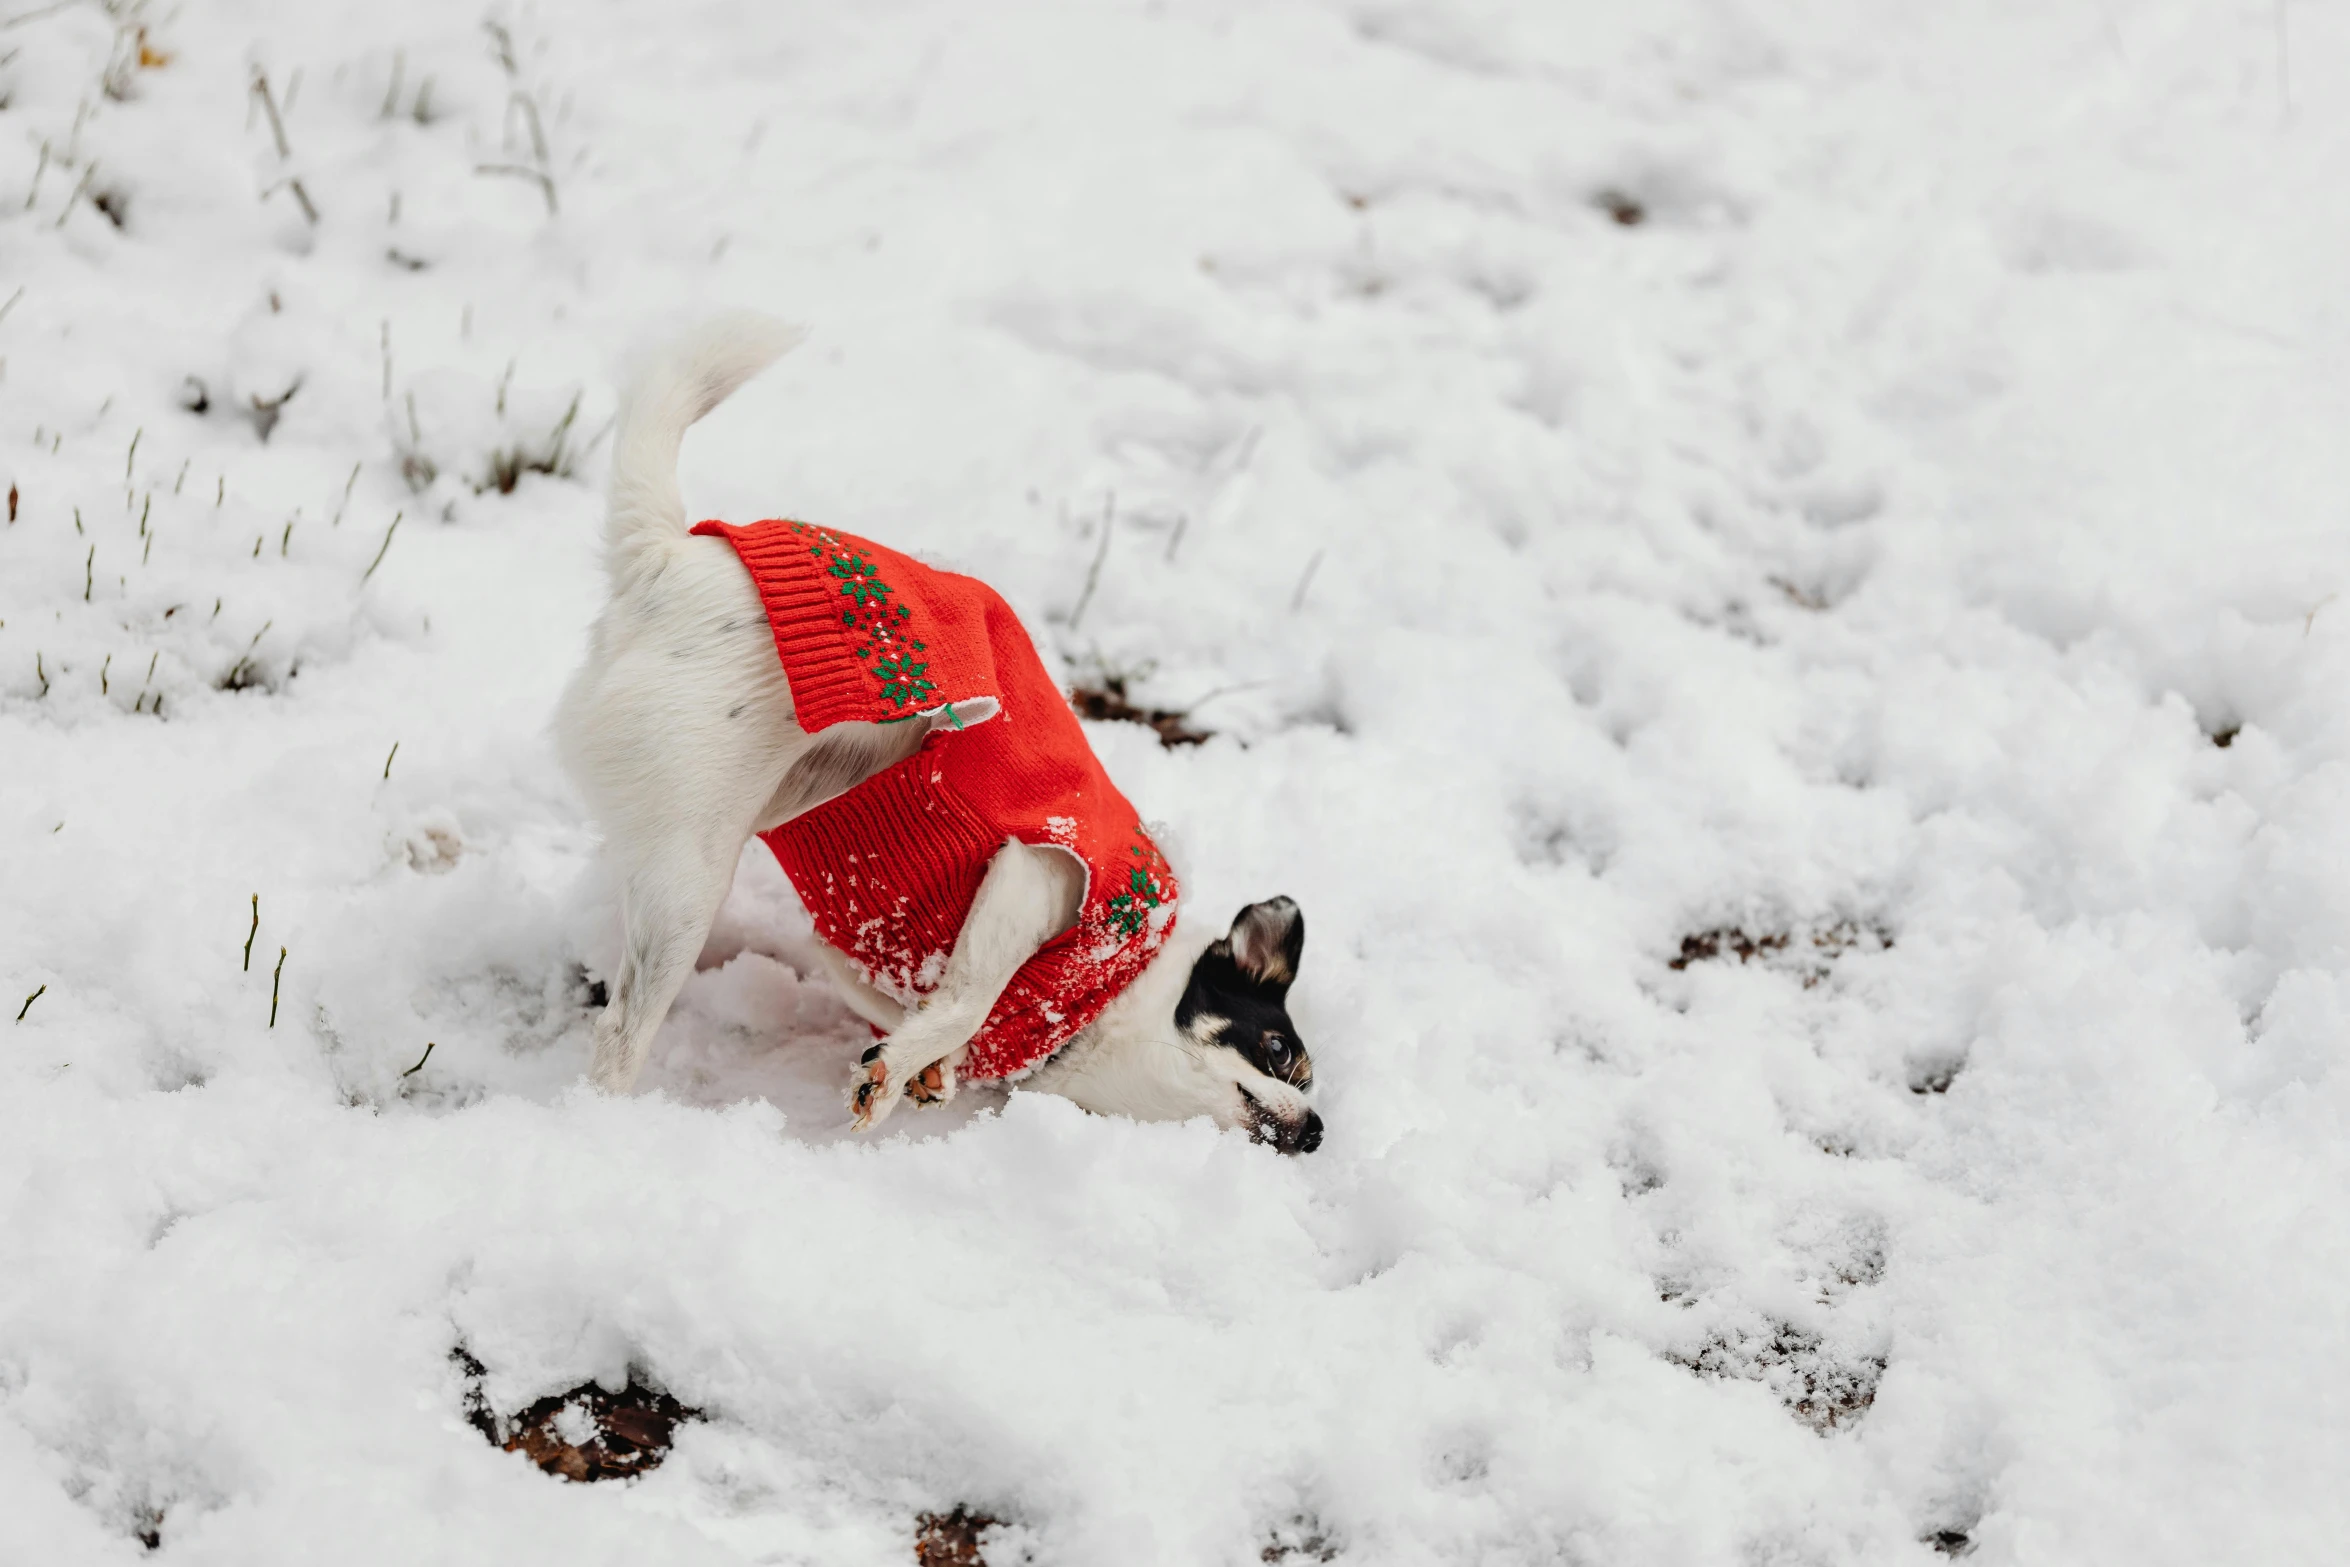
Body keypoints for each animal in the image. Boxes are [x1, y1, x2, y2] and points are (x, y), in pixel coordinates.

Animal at [554, 314, 1325, 1151]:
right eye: (1280, 1050)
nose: (1319, 1129)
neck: (1109, 990)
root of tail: (668, 557)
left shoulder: (854, 950)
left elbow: (934, 1007)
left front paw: (931, 1067)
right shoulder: (1041, 869)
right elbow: (970, 995)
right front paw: (902, 1066)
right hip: (690, 874)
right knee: (620, 1032)